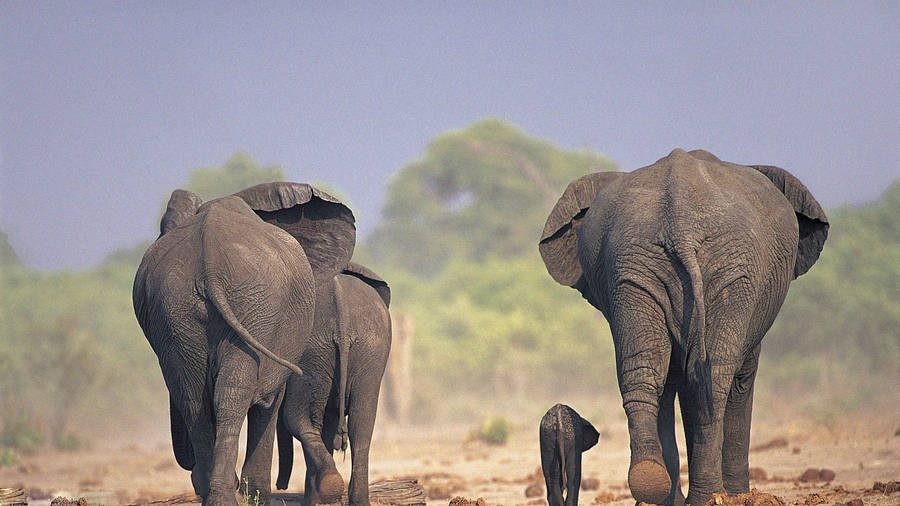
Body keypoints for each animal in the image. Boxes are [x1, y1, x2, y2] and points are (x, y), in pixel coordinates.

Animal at [133, 183, 356, 506]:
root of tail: (209, 261)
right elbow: (269, 400)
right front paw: (257, 494)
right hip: (252, 305)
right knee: (232, 394)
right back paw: (229, 493)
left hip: (180, 309)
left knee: (194, 396)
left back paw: (214, 493)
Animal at [272, 262, 391, 506]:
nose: (281, 486)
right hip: (369, 348)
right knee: (361, 423)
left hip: (312, 352)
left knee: (299, 417)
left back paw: (321, 493)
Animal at [538, 149, 828, 505]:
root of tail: (680, 219)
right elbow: (738, 379)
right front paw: (737, 496)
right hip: (732, 273)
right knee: (714, 379)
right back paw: (708, 496)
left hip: (635, 266)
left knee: (647, 371)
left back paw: (651, 483)